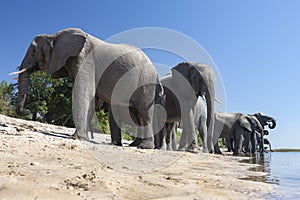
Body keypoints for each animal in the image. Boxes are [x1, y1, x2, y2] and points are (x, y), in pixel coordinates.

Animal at [10, 27, 163, 149]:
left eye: (34, 51)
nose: (27, 110)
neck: (55, 36)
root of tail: (156, 73)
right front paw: (83, 139)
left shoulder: (85, 58)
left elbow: (82, 91)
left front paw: (76, 139)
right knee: (137, 114)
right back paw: (134, 145)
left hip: (146, 82)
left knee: (144, 112)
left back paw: (144, 147)